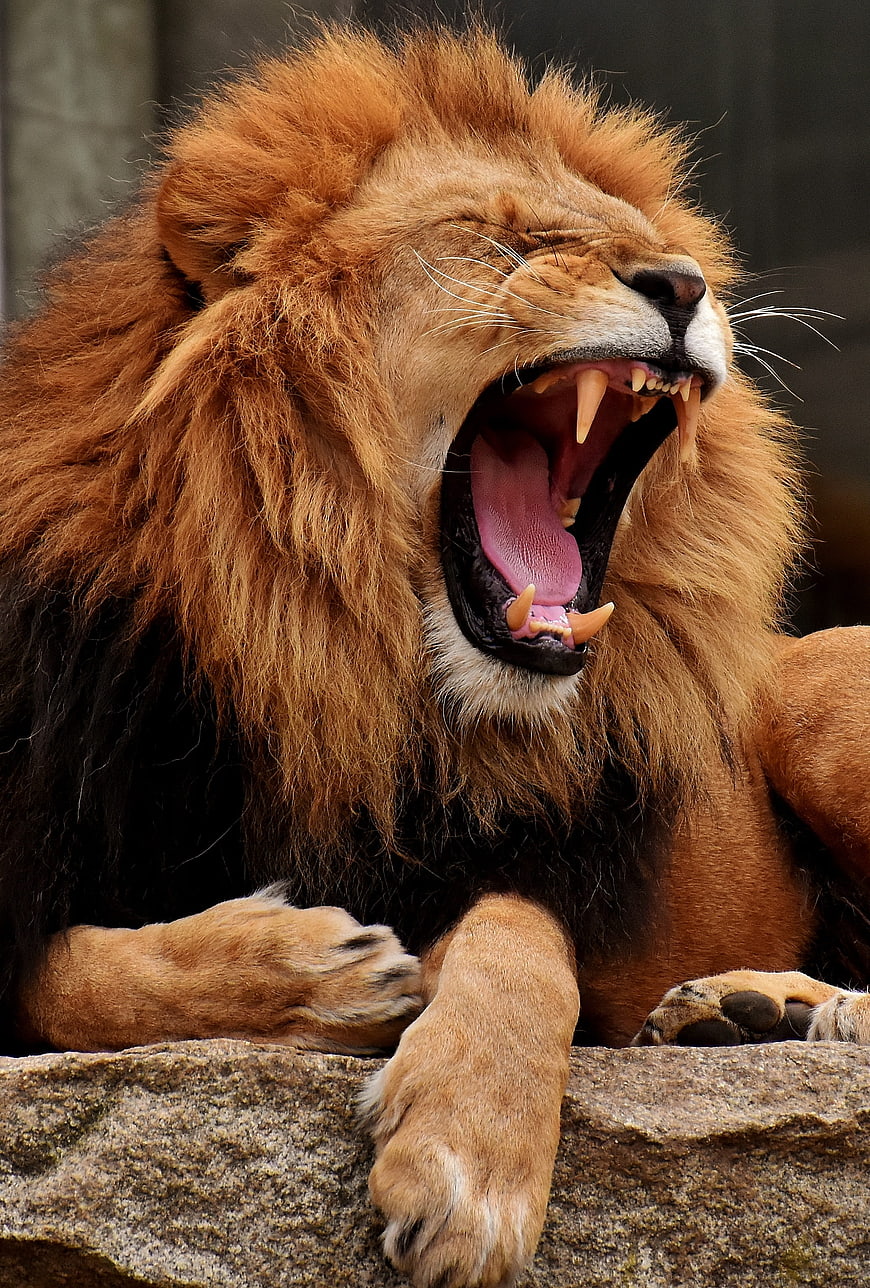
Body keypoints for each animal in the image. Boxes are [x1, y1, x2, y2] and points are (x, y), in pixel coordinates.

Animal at [0, 25, 868, 1288]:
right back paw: (746, 1012)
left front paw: (467, 1162)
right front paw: (309, 974)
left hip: (819, 693)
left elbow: (516, 932)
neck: (328, 665)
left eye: (657, 247)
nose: (684, 285)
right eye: (501, 237)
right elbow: (71, 972)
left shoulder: (533, 858)